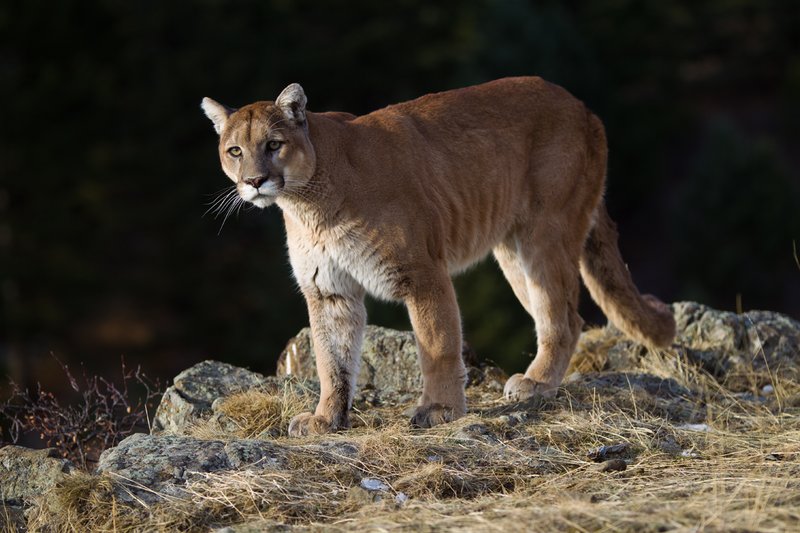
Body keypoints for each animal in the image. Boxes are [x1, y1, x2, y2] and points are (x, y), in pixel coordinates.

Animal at [201, 77, 676, 436]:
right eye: (235, 151)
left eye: (273, 144)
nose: (254, 181)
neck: (309, 204)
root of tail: (581, 106)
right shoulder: (329, 290)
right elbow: (331, 358)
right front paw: (326, 418)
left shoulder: (422, 273)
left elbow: (437, 344)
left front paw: (440, 410)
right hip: (512, 252)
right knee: (559, 315)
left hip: (545, 234)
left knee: (565, 315)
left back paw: (536, 384)